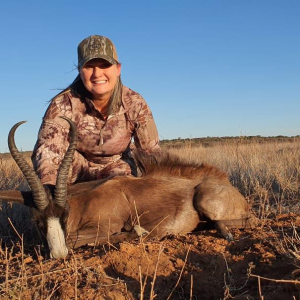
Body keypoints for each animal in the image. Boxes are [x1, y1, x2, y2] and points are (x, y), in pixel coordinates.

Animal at [0, 118, 258, 258]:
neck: (83, 201)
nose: (58, 254)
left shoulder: (106, 226)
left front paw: (136, 232)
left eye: (65, 215)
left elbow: (75, 238)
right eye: (36, 220)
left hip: (204, 199)